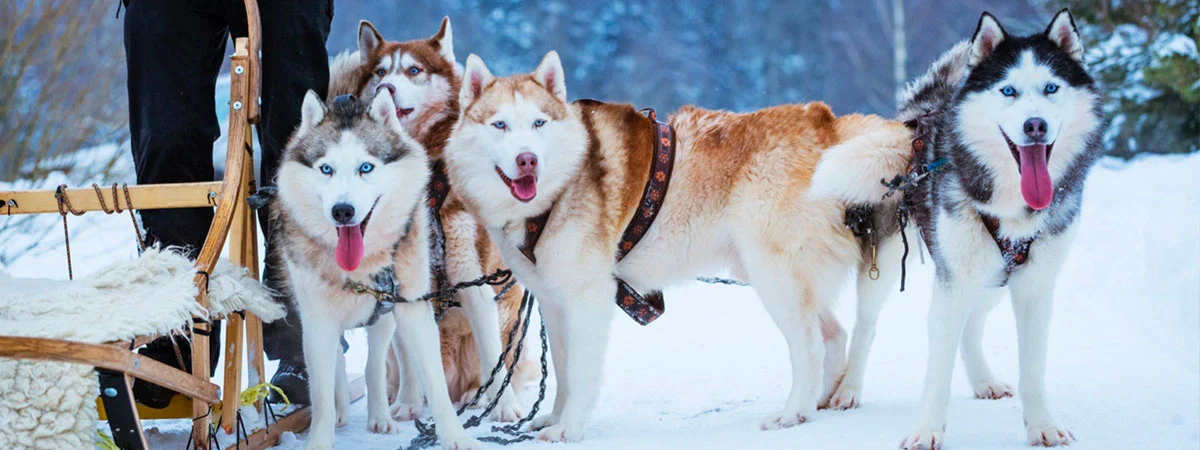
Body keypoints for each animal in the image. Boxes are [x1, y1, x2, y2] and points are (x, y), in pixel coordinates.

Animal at [274, 91, 480, 450]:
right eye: (326, 169)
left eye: (366, 167)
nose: (342, 211)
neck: (362, 266)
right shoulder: (317, 320)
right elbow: (321, 394)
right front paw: (320, 439)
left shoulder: (412, 308)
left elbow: (435, 384)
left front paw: (456, 437)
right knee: (338, 363)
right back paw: (343, 408)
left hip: (385, 314)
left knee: (374, 364)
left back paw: (380, 416)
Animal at [328, 16, 535, 420]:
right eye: (380, 72)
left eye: (413, 70)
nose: (387, 87)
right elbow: (411, 357)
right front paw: (409, 403)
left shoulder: (471, 275)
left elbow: (493, 355)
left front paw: (504, 409)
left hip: (506, 313)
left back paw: (479, 397)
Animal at [444, 51, 916, 441]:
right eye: (499, 125)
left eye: (538, 123)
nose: (527, 159)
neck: (557, 190)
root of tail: (825, 122)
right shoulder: (555, 304)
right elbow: (562, 371)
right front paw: (555, 418)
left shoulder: (587, 299)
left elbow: (580, 374)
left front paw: (570, 428)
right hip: (774, 274)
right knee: (834, 335)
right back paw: (820, 401)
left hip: (774, 278)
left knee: (812, 346)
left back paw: (793, 412)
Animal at [811, 8, 1099, 448]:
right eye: (1008, 91)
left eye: (1051, 87)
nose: (1035, 125)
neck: (1012, 205)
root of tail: (919, 115)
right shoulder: (953, 280)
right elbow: (937, 370)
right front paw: (926, 430)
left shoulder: (1035, 284)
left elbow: (1033, 366)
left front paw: (1042, 425)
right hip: (893, 260)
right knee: (867, 324)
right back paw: (848, 388)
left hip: (992, 275)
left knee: (972, 322)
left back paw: (983, 379)